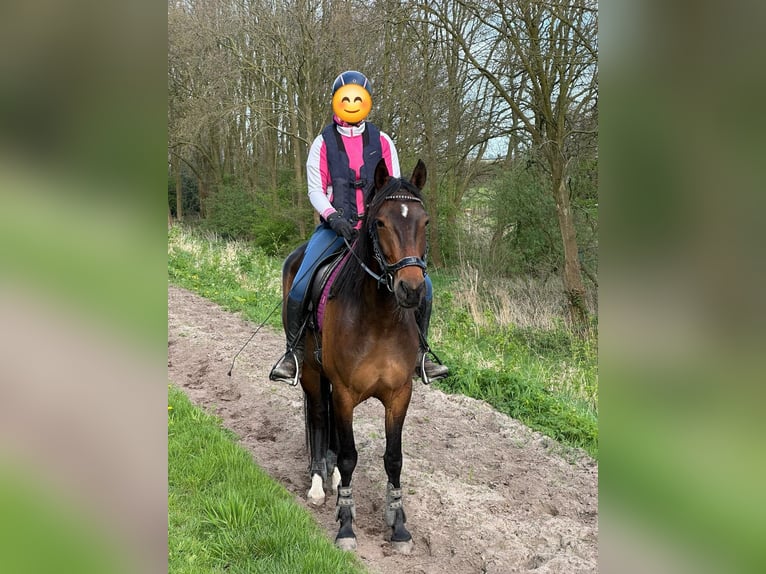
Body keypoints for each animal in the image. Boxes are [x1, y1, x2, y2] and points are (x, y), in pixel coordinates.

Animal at [282, 160, 432, 556]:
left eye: (425, 222)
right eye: (380, 223)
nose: (411, 289)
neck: (379, 320)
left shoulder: (399, 395)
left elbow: (394, 459)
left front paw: (399, 526)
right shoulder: (346, 393)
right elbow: (349, 455)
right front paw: (346, 525)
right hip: (312, 373)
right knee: (321, 419)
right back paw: (319, 483)